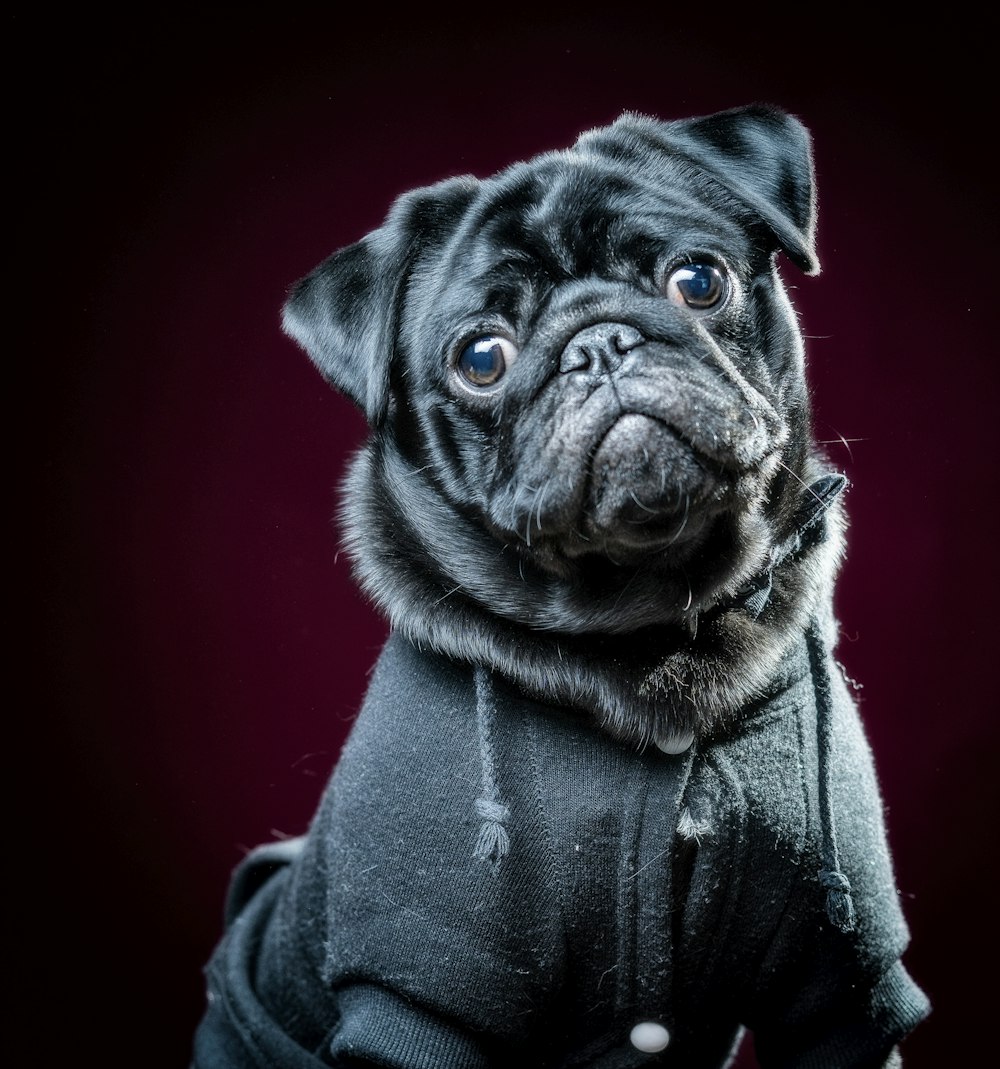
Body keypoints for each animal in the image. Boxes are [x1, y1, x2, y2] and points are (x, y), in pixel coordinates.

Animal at [191, 106, 928, 1069]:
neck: (650, 622)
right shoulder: (422, 1006)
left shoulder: (841, 992)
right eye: (482, 357)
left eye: (699, 279)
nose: (598, 341)